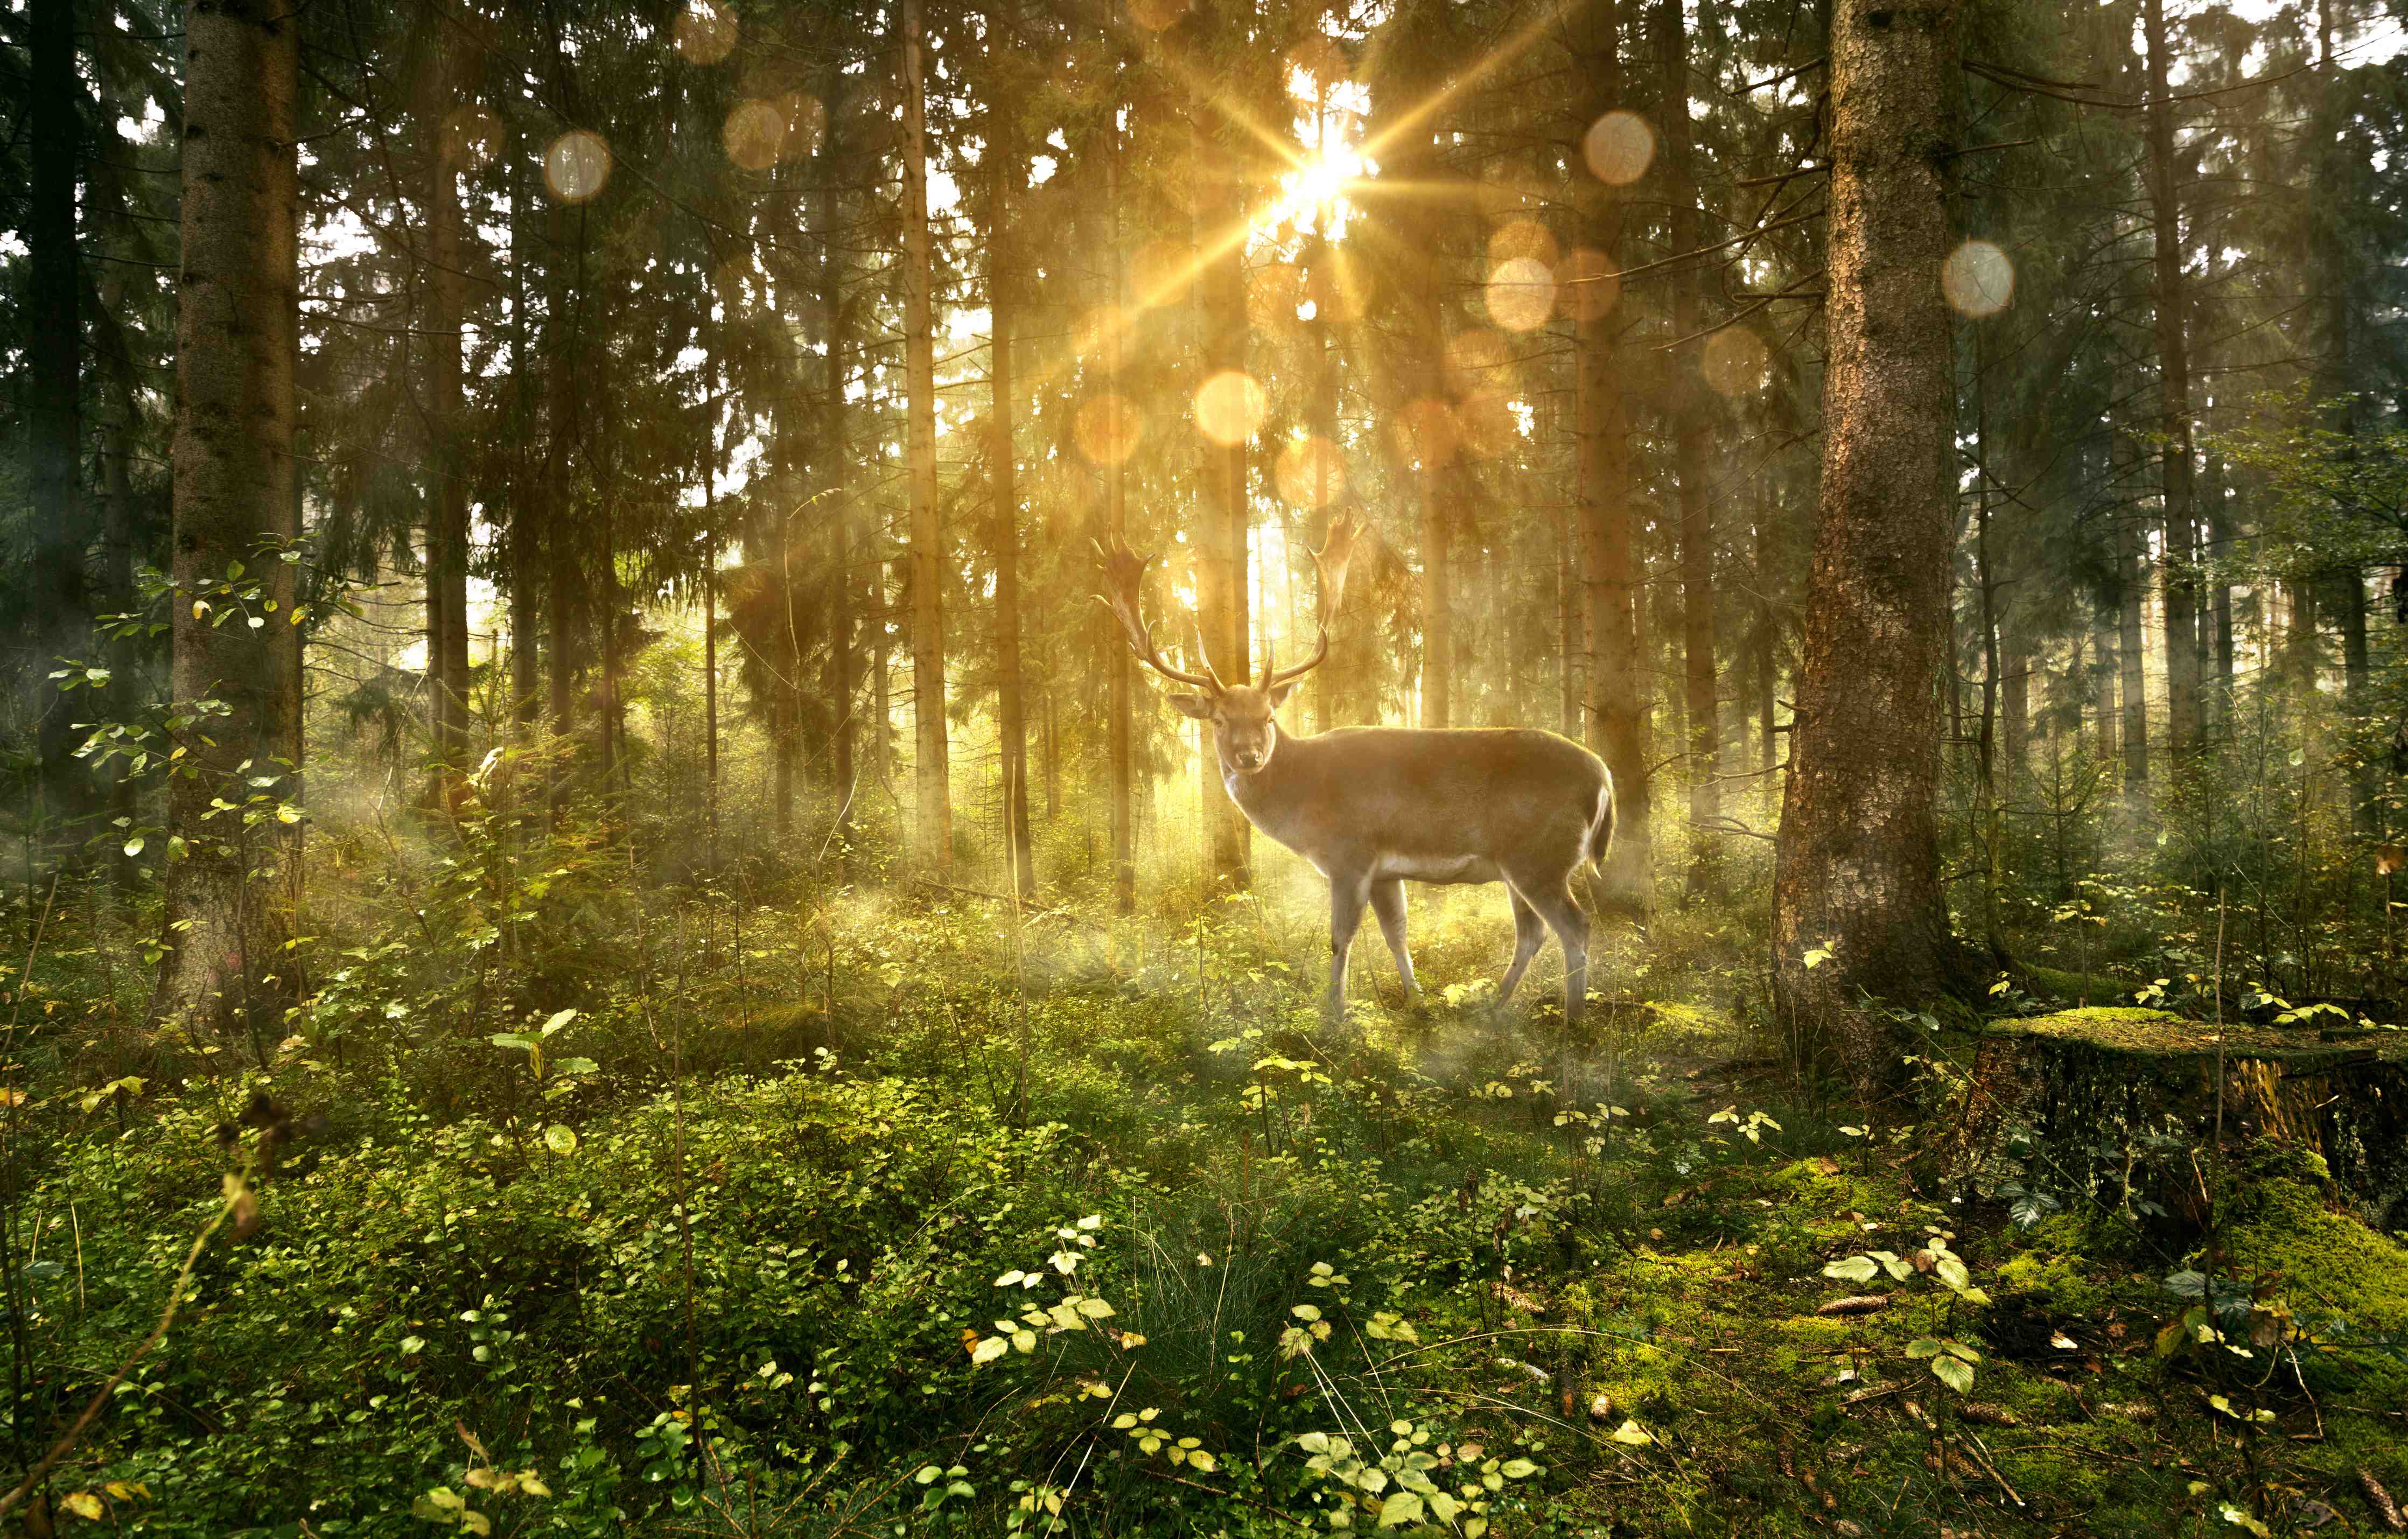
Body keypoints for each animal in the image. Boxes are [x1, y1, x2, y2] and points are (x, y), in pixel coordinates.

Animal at [1096, 514, 1614, 1022]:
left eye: (1268, 717)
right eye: (1220, 720)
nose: (1249, 756)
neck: (1303, 799)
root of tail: (1604, 776)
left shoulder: (1349, 853)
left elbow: (1339, 937)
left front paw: (1334, 1017)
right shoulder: (1385, 870)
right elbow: (1397, 934)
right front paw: (1417, 1002)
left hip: (1539, 856)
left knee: (1575, 925)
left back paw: (1573, 1019)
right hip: (1521, 865)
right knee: (1533, 934)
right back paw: (1492, 1008)